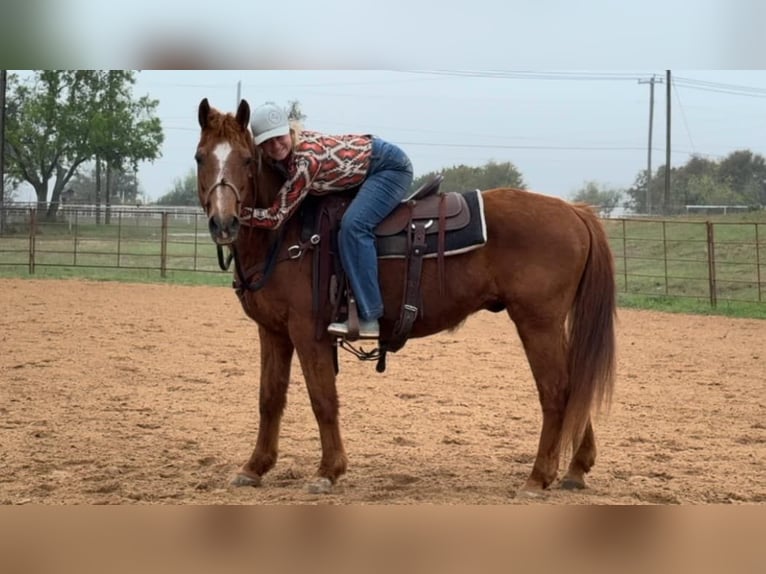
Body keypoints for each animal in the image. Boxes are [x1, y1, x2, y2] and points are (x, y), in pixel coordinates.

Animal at [194, 97, 617, 496]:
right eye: (200, 157)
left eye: (247, 160)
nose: (224, 223)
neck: (289, 232)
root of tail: (574, 212)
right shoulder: (273, 331)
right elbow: (269, 399)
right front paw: (254, 468)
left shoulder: (307, 332)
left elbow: (322, 399)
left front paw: (328, 471)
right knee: (575, 385)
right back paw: (575, 470)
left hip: (537, 322)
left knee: (557, 390)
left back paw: (538, 477)